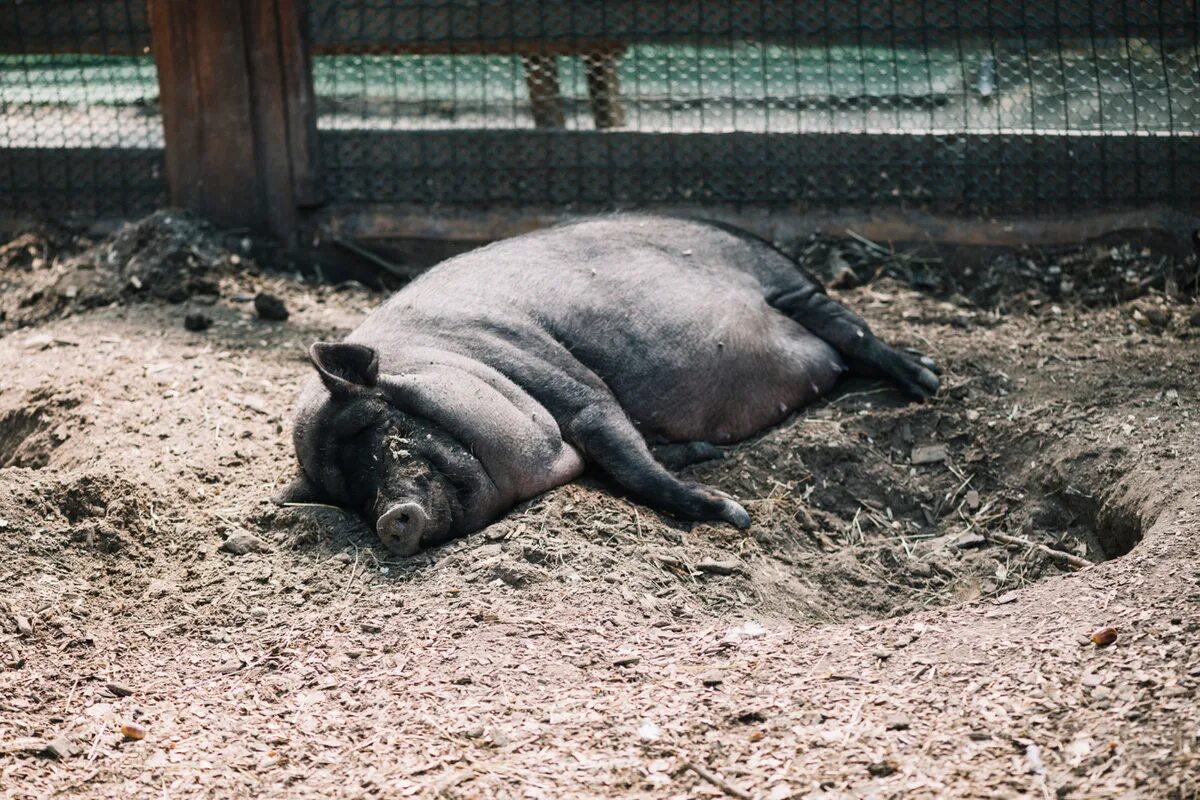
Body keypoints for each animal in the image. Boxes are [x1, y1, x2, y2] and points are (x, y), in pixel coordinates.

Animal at [274, 219, 936, 556]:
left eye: (389, 433)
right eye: (350, 496)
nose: (390, 519)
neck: (459, 356)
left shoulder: (572, 385)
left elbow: (630, 460)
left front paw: (734, 514)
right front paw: (708, 461)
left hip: (791, 287)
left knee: (851, 332)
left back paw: (926, 377)